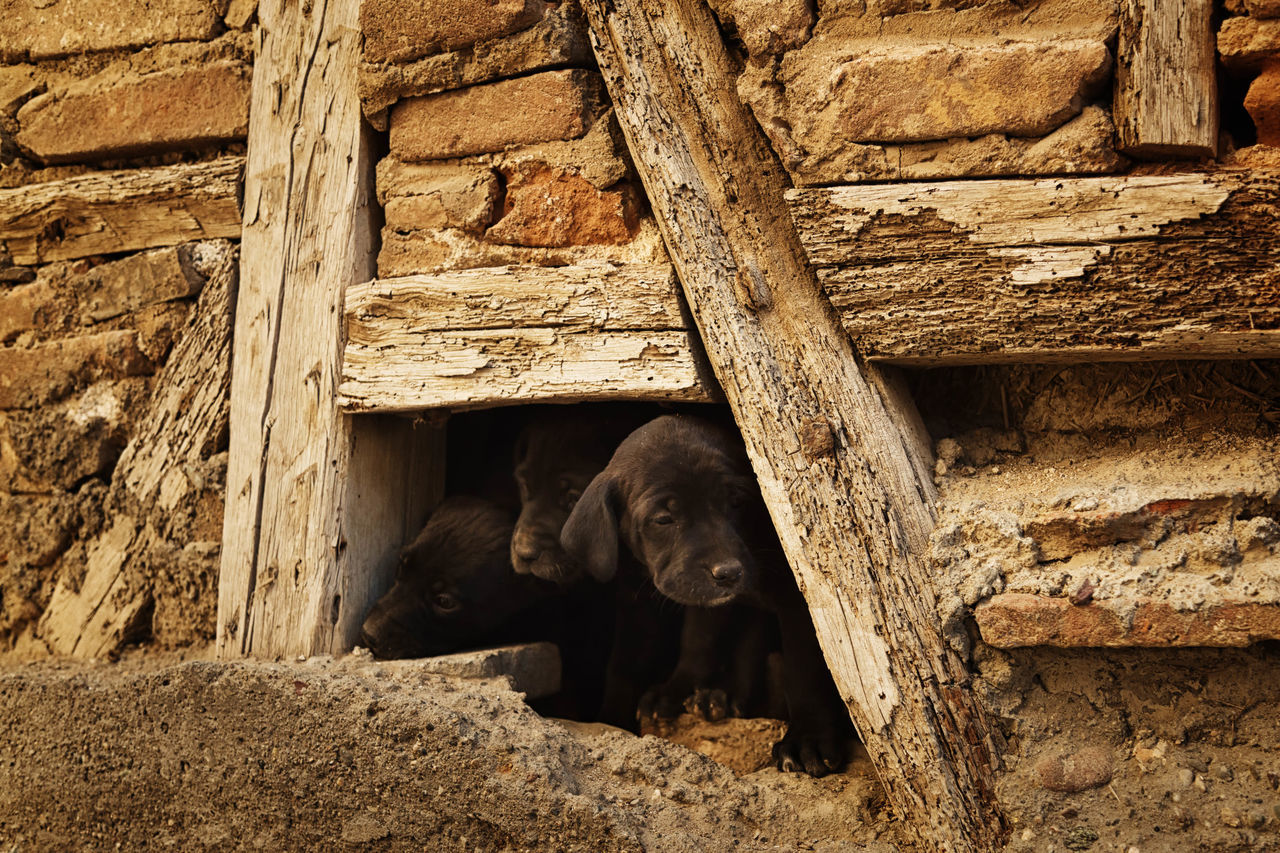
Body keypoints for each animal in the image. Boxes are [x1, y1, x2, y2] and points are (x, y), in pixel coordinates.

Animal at [563, 412, 855, 778]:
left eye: (737, 501)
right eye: (663, 519)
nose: (728, 572)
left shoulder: (801, 604)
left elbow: (806, 667)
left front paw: (808, 739)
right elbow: (696, 640)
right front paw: (674, 691)